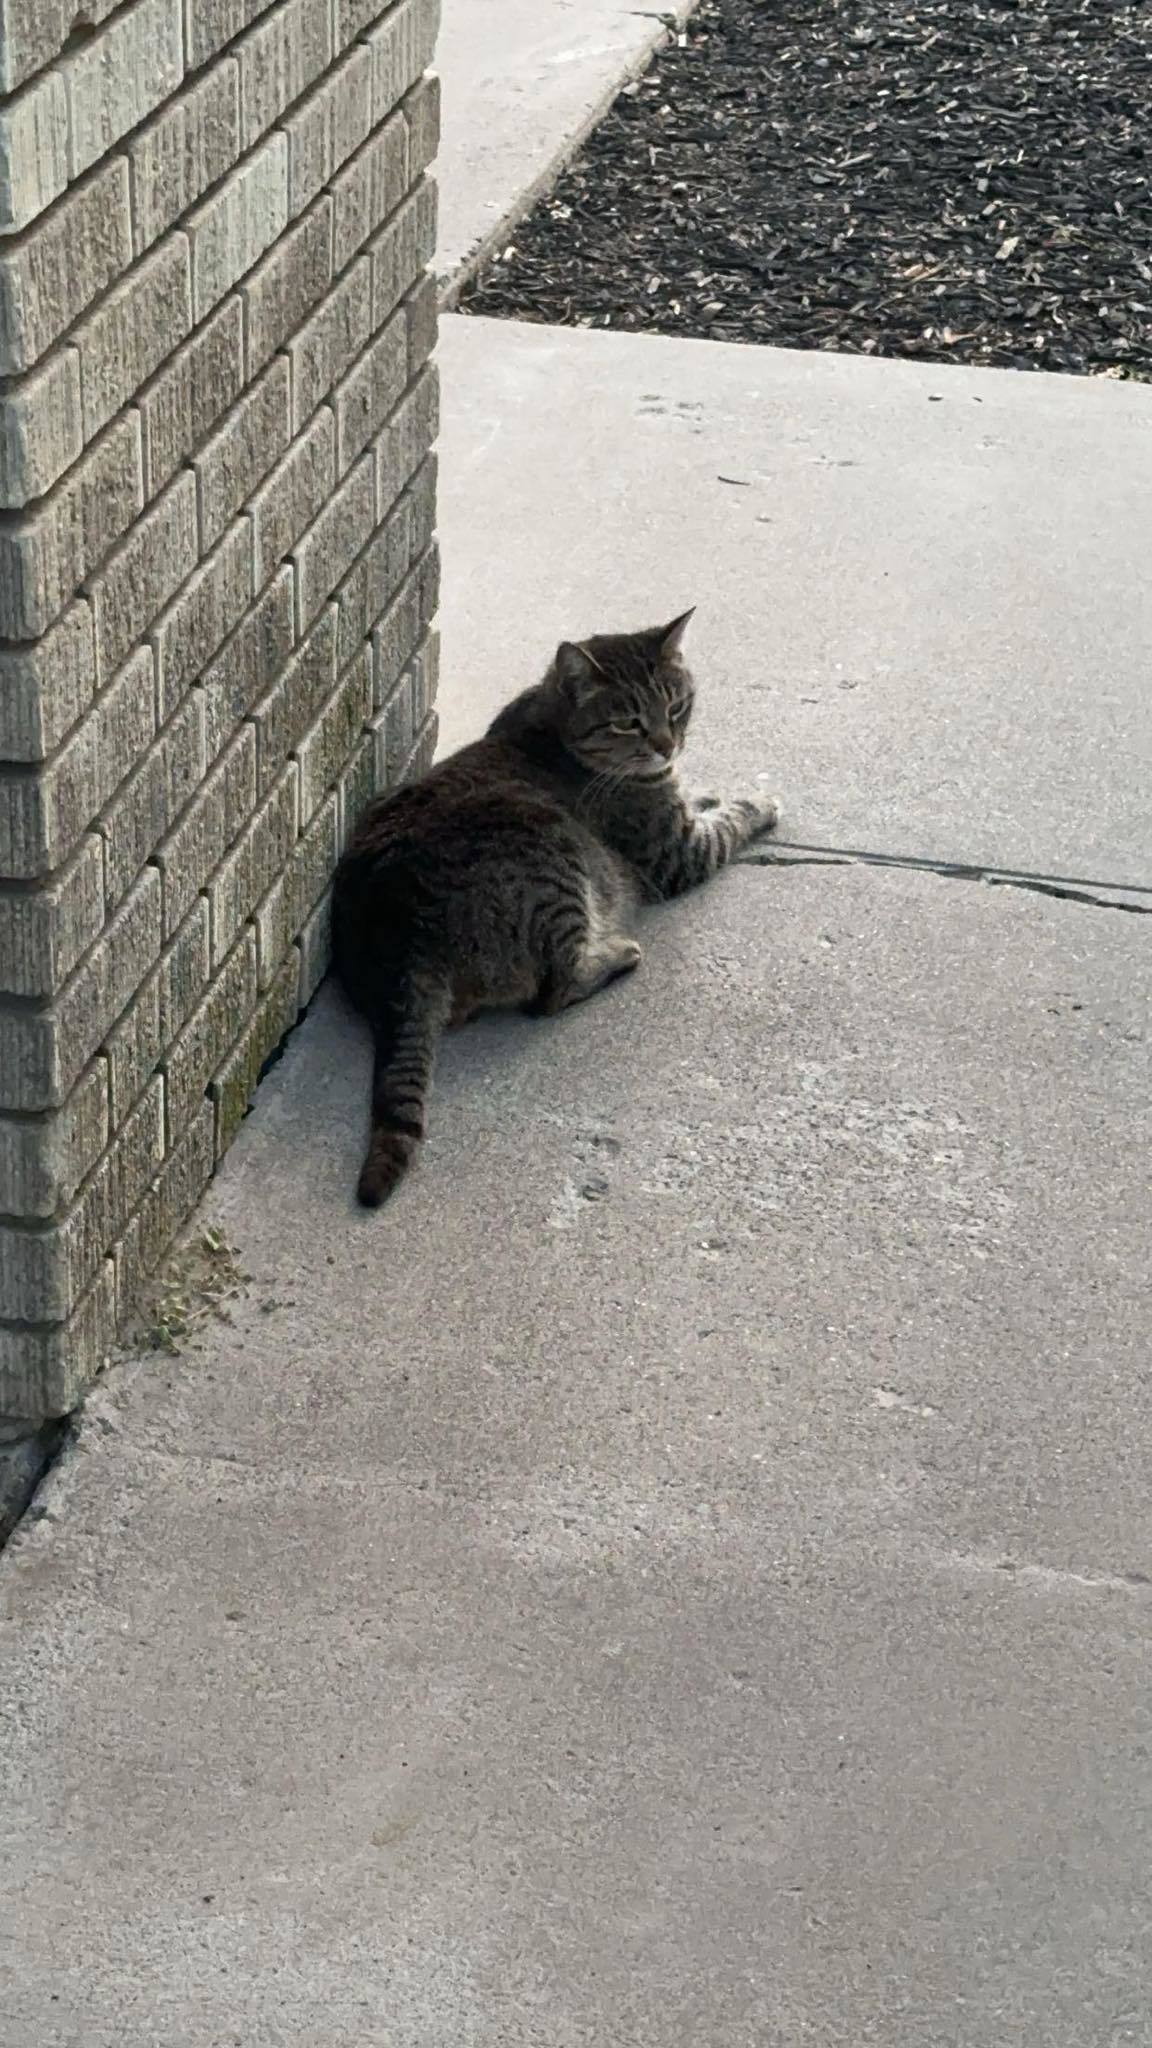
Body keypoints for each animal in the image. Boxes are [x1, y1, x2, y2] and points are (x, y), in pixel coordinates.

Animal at [336, 614, 774, 1204]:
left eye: (678, 706)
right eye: (628, 723)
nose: (668, 745)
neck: (554, 722)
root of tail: (403, 932)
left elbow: (702, 799)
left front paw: (703, 790)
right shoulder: (678, 854)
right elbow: (731, 820)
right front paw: (758, 802)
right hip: (558, 861)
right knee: (555, 990)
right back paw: (618, 954)